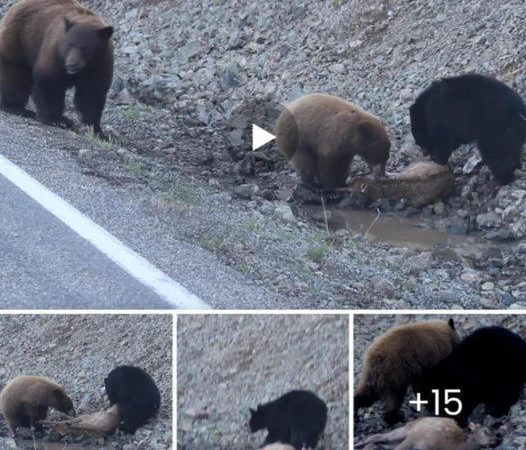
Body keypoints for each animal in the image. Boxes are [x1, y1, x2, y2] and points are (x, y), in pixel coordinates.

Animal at [0, 0, 114, 135]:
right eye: (70, 44)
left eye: (85, 48)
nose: (71, 64)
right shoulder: (55, 53)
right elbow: (50, 83)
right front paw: (57, 120)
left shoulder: (100, 64)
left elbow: (92, 94)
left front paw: (96, 129)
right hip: (19, 41)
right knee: (16, 77)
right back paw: (16, 107)